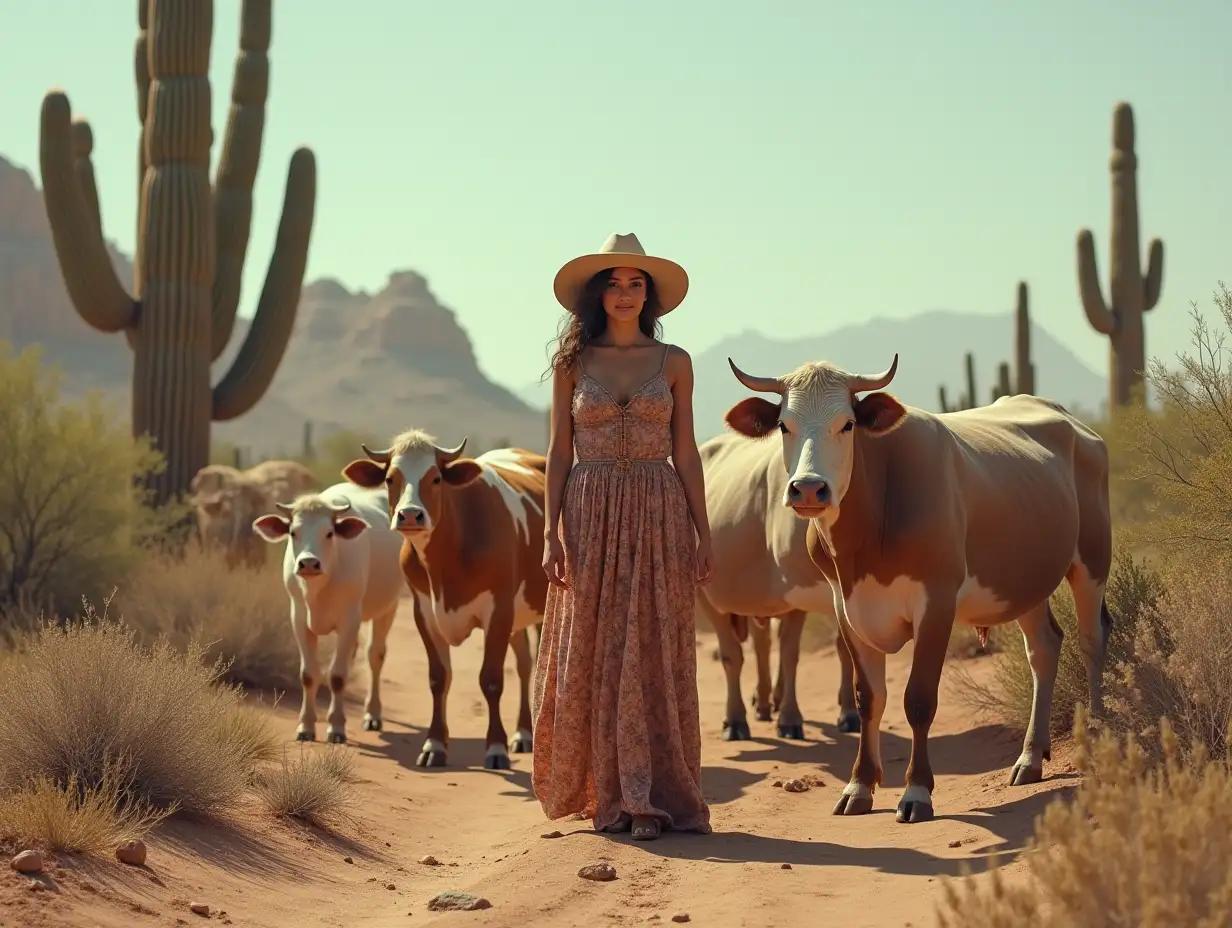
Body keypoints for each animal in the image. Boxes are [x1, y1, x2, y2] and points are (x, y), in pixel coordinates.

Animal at [250, 480, 404, 744]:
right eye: (293, 532)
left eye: (329, 533)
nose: (309, 563)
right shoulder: (299, 619)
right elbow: (309, 674)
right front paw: (306, 726)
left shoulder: (349, 620)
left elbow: (337, 676)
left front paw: (337, 727)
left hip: (388, 606)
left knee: (375, 655)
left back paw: (372, 714)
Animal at [340, 431, 547, 769]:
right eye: (390, 478)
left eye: (436, 478)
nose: (410, 515)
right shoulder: (424, 610)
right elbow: (439, 678)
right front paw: (434, 745)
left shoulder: (498, 611)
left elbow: (491, 680)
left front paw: (496, 748)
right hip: (518, 617)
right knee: (525, 664)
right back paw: (524, 734)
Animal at [699, 426, 862, 739]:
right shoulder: (709, 596)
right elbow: (731, 656)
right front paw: (735, 720)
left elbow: (796, 654)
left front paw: (843, 714)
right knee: (759, 645)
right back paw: (762, 703)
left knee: (767, 644)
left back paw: (769, 701)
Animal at [719, 350, 1118, 823]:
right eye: (784, 424)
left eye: (847, 424)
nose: (810, 489)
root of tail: (1074, 423)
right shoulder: (846, 606)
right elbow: (868, 698)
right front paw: (858, 786)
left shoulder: (936, 603)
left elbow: (919, 700)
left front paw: (915, 792)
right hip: (1023, 580)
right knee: (1044, 647)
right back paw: (1030, 758)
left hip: (1092, 560)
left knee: (1092, 640)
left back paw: (1093, 737)